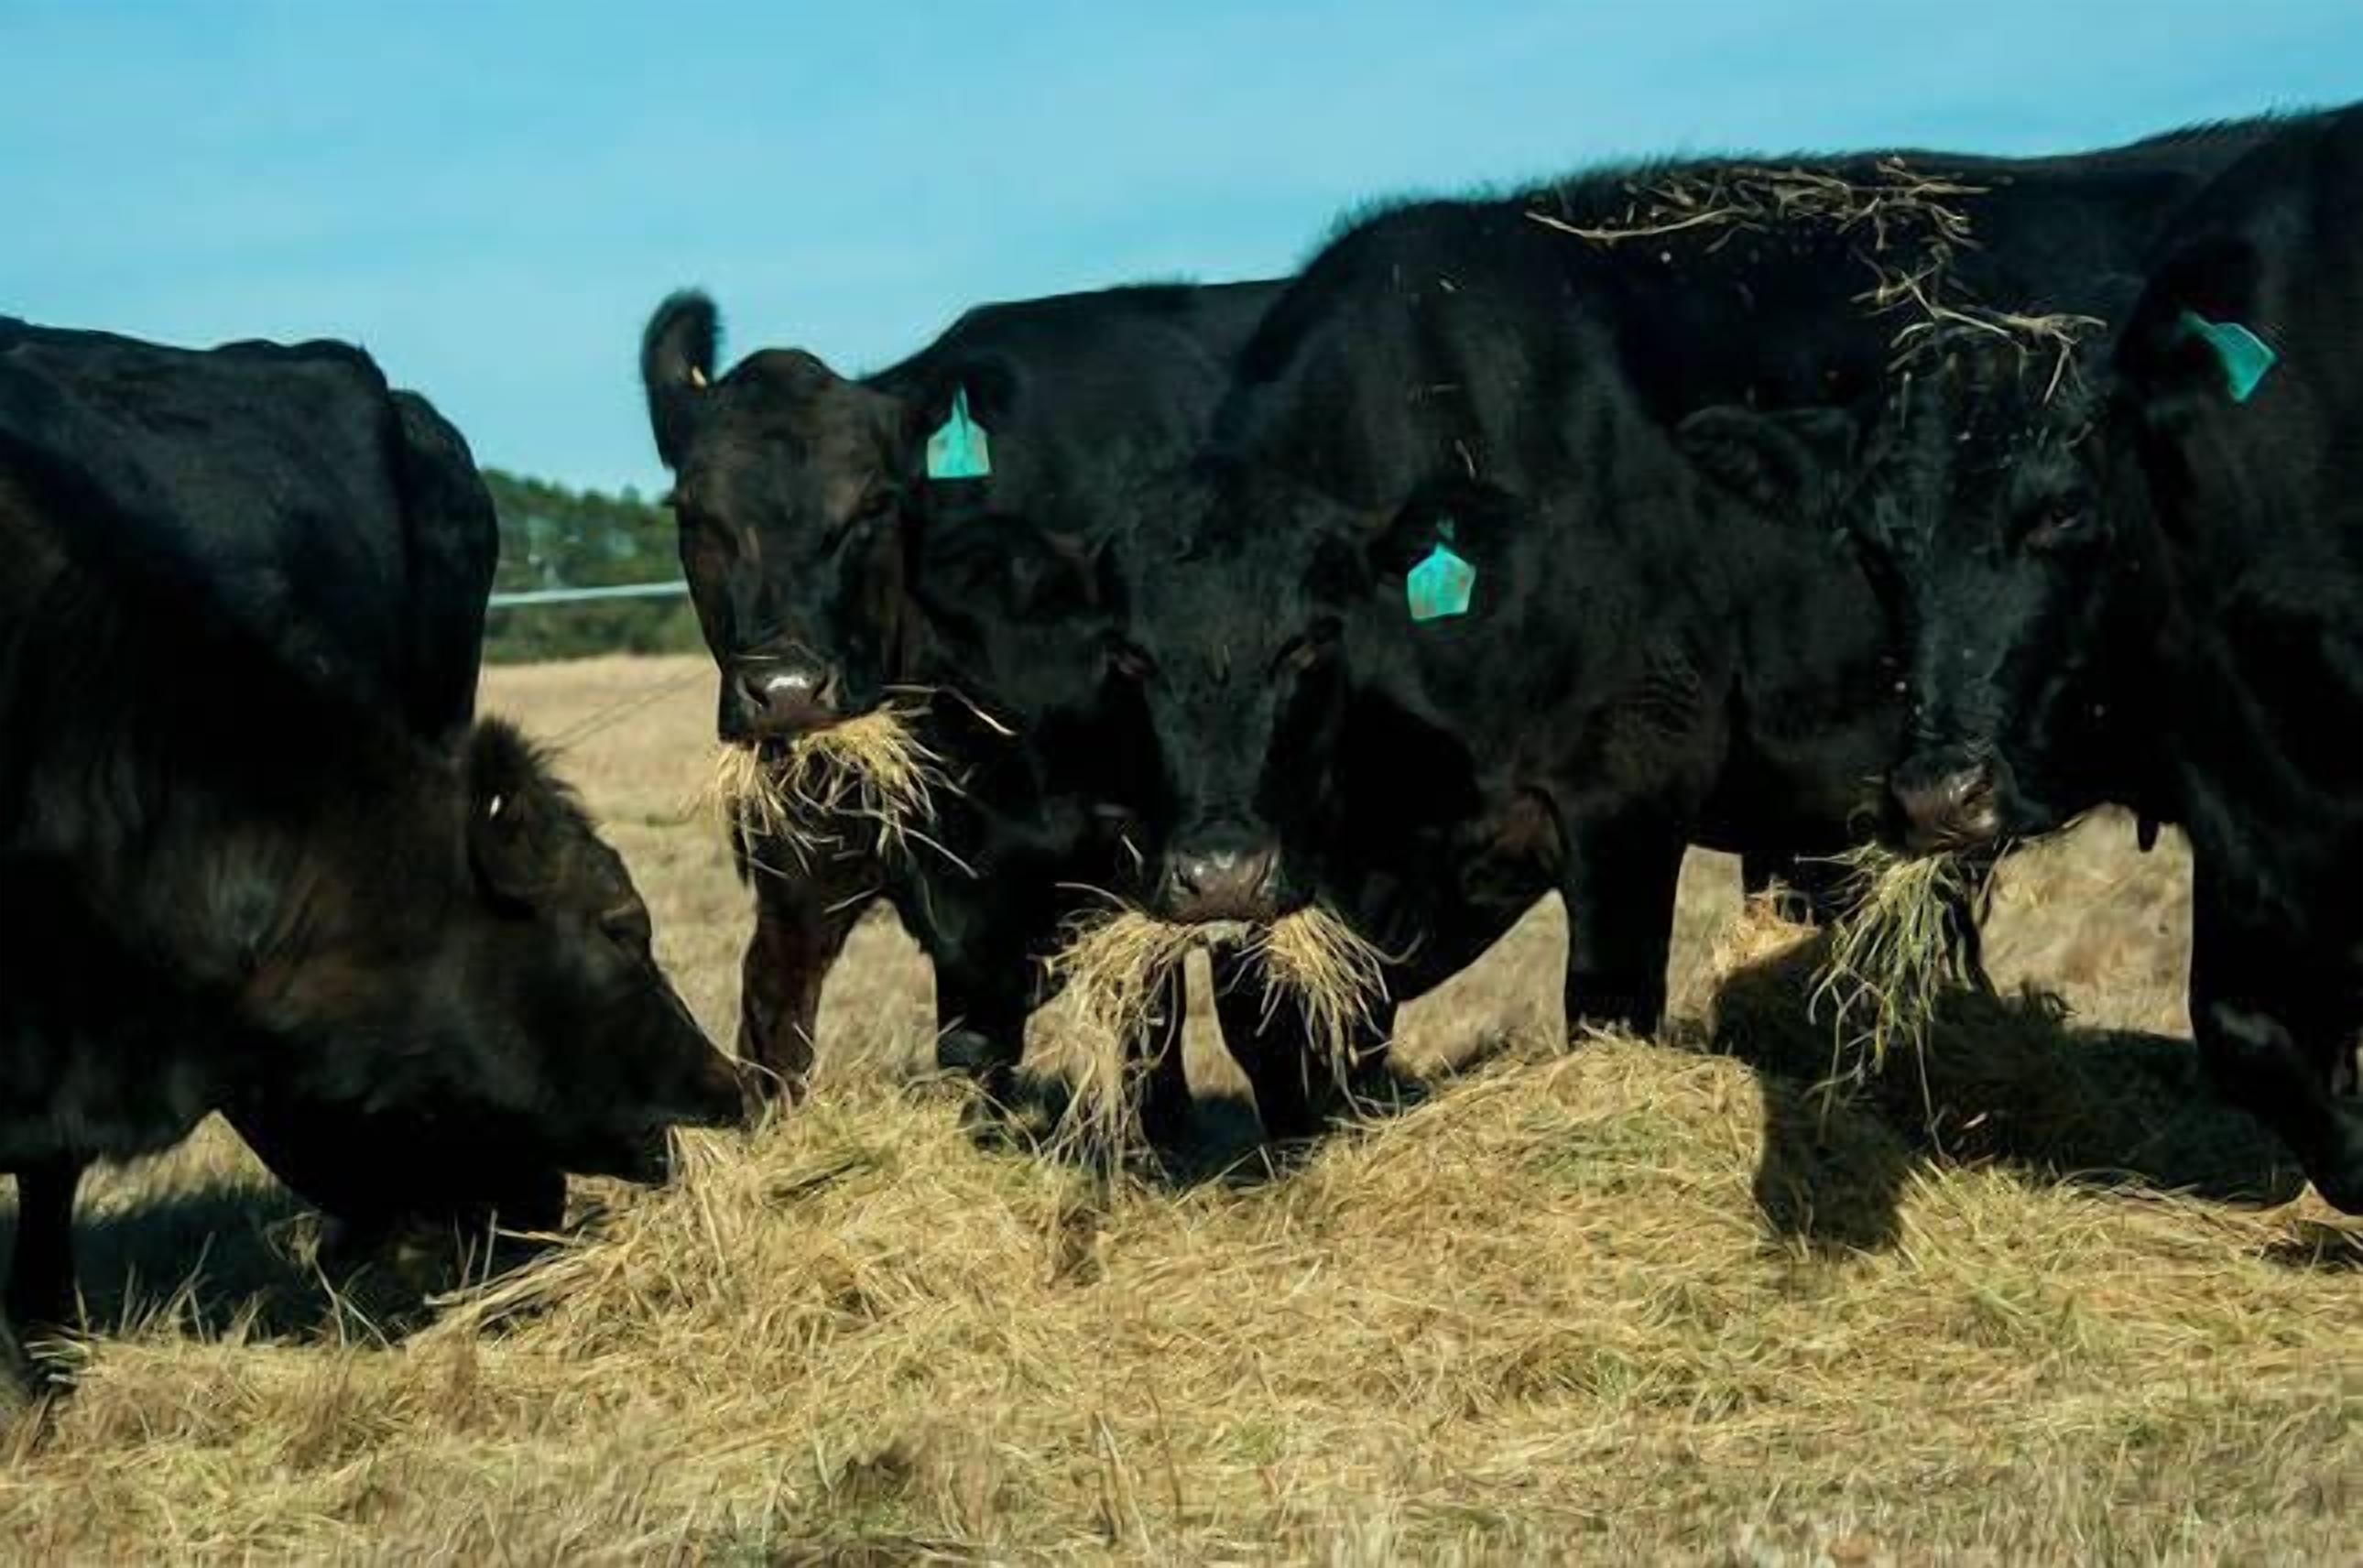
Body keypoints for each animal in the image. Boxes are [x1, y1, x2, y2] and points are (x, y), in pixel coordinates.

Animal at [639, 281, 1281, 1141]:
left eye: (873, 505)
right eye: (692, 512)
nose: (786, 689)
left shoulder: (1139, 859)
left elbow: (1149, 1037)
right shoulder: (805, 871)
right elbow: (780, 1026)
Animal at [1019, 121, 2301, 1137]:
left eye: (1309, 644)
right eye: (1130, 657)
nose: (1217, 869)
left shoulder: (1630, 787)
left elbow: (1603, 1005)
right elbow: (1288, 1036)